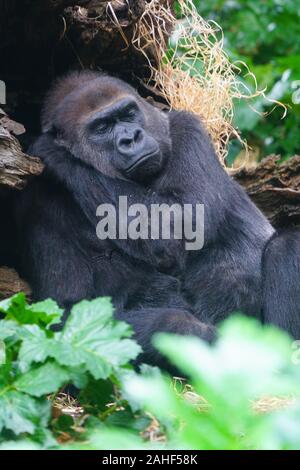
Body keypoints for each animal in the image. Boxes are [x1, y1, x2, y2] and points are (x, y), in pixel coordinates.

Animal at [15, 70, 300, 368]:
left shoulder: (187, 128)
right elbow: (64, 313)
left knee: (286, 246)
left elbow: (183, 222)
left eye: (129, 114)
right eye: (102, 127)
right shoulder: (39, 202)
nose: (131, 137)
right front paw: (186, 331)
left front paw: (56, 152)